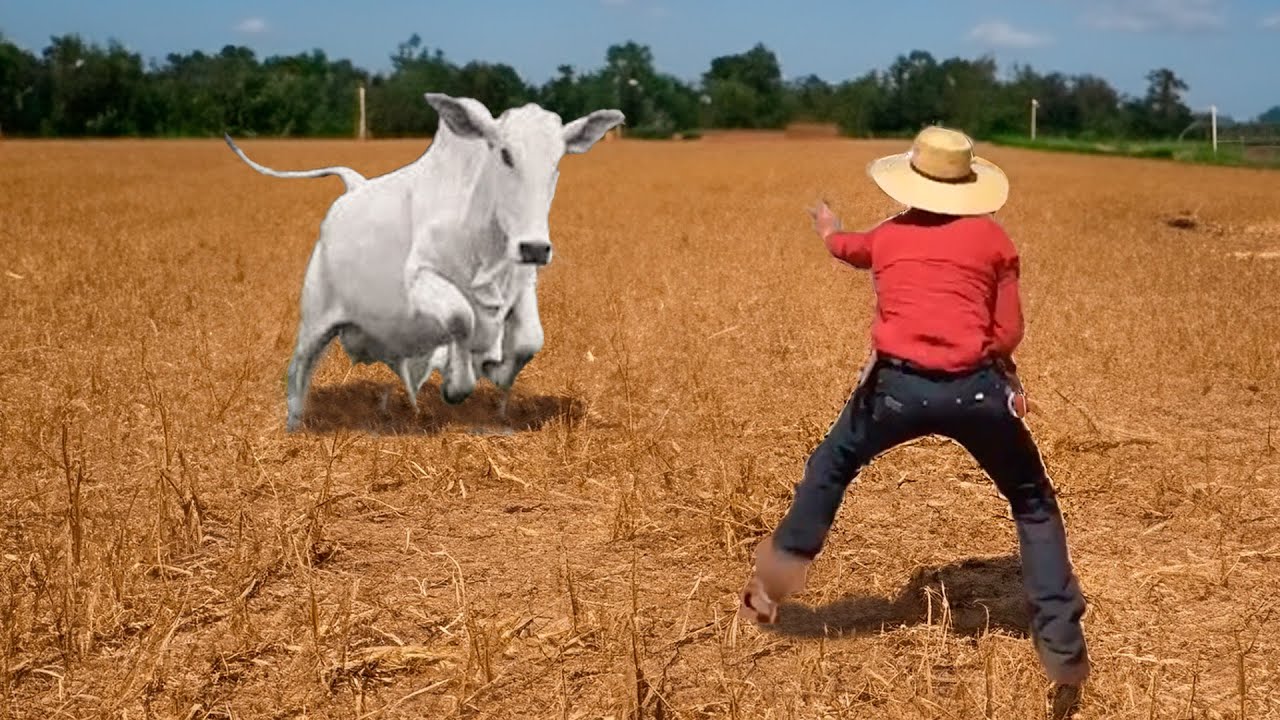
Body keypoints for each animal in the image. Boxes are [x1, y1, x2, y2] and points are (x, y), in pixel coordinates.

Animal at [224, 93, 625, 432]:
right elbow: (461, 317)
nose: (535, 248)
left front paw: (493, 371)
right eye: (505, 154)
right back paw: (294, 428)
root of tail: (354, 188)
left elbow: (530, 339)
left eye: (557, 161)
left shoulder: (521, 283)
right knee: (298, 372)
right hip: (314, 320)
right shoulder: (420, 279)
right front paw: (457, 384)